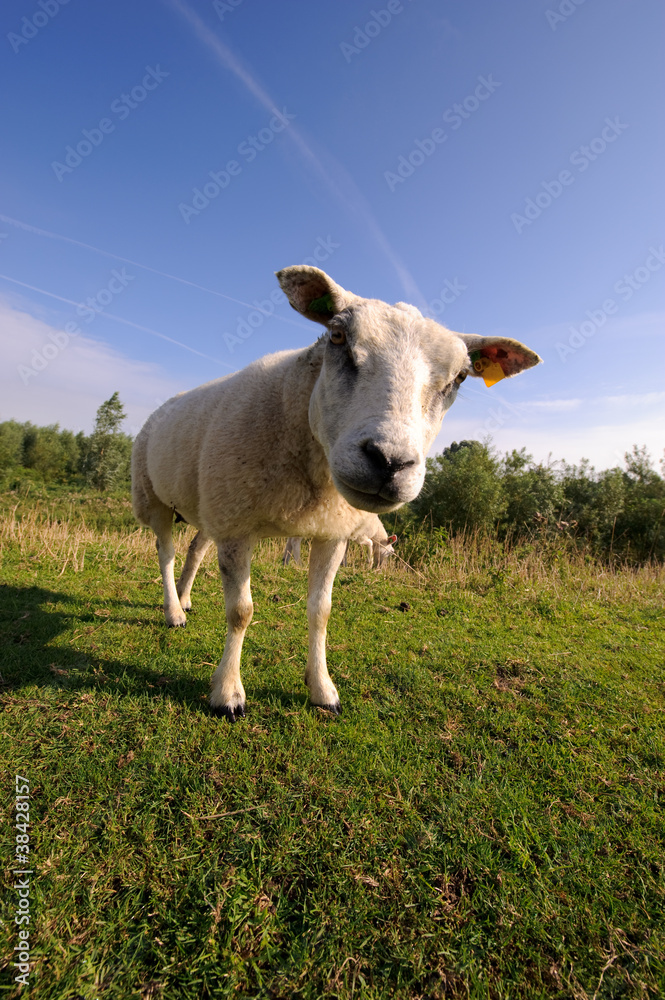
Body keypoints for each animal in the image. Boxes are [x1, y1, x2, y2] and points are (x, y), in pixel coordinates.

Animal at [131, 265, 541, 721]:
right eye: (339, 337)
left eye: (460, 377)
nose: (389, 462)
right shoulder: (238, 527)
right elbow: (241, 612)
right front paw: (227, 693)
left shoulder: (330, 533)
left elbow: (321, 612)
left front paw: (323, 690)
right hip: (155, 499)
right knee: (166, 553)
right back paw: (172, 610)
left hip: (211, 504)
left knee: (195, 550)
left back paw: (185, 600)